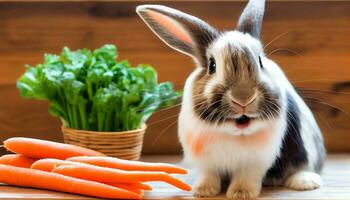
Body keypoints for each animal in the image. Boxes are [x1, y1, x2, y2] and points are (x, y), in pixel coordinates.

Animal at [137, 0, 326, 198]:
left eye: (260, 61)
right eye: (212, 65)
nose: (243, 97)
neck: (234, 133)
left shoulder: (254, 163)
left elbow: (245, 178)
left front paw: (241, 193)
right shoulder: (206, 164)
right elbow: (208, 176)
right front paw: (203, 191)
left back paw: (305, 182)